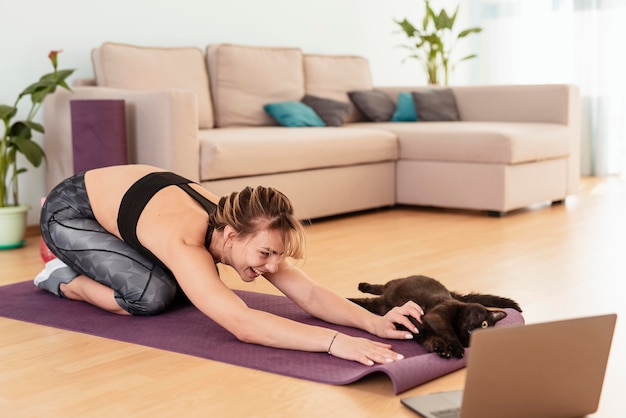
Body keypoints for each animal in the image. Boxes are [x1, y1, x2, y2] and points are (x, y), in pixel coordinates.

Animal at [348, 274, 520, 360]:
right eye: (484, 324)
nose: (476, 331)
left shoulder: (418, 332)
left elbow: (430, 340)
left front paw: (441, 349)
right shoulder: (436, 315)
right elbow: (448, 332)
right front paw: (456, 348)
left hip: (382, 306)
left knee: (366, 303)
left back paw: (350, 299)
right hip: (392, 287)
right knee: (380, 287)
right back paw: (361, 287)